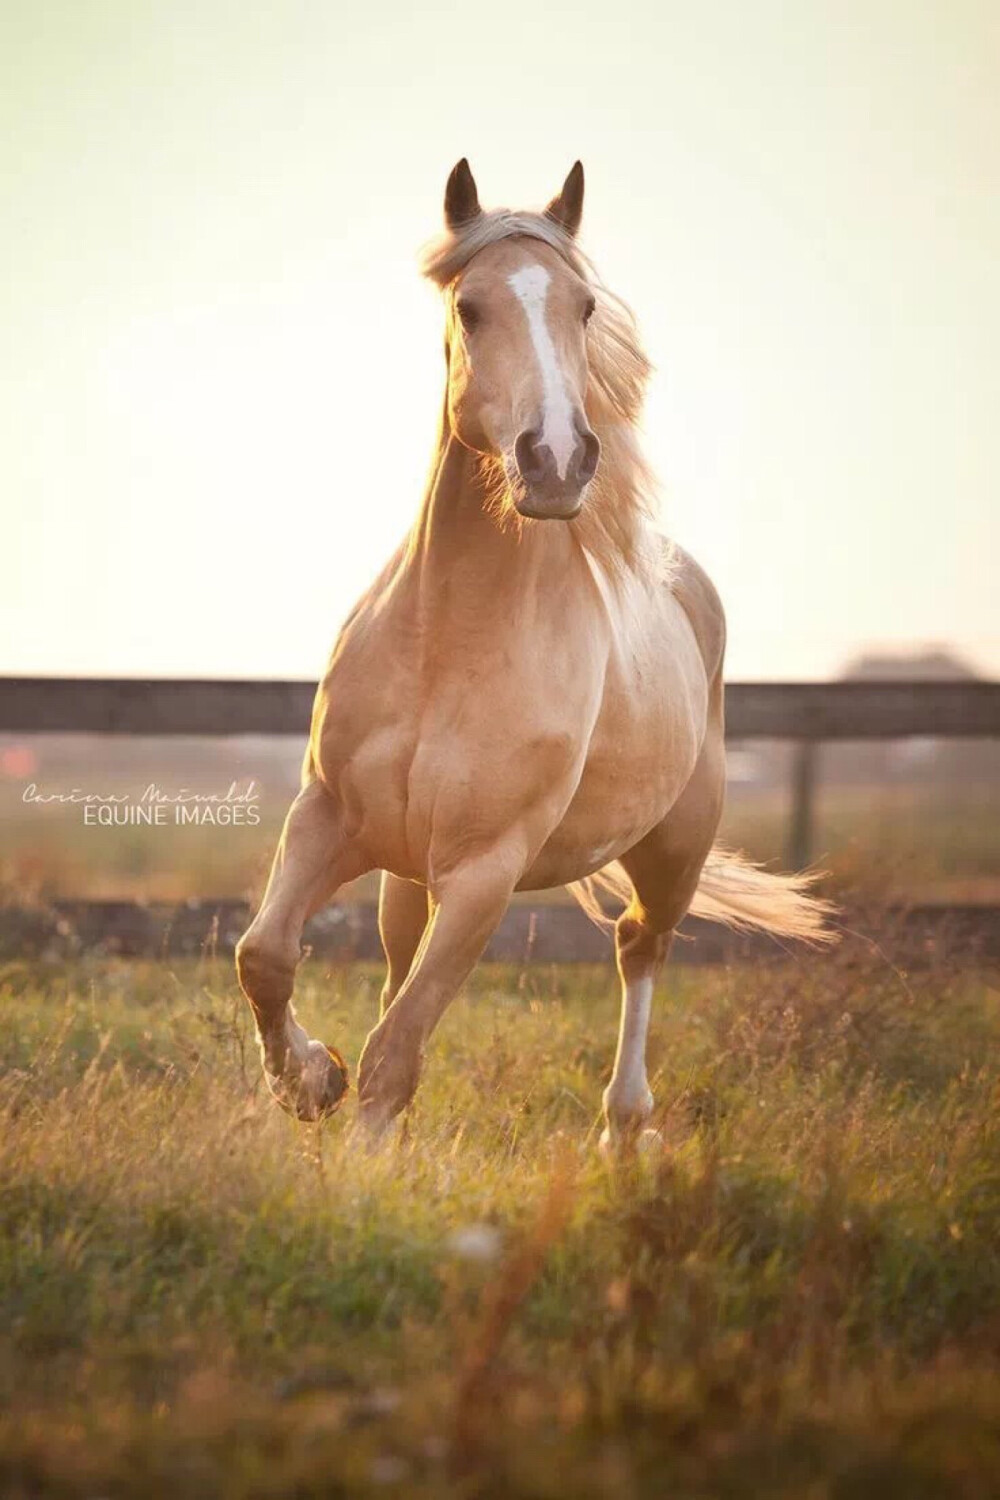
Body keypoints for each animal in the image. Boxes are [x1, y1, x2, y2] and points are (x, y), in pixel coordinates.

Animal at [232, 158, 827, 1140]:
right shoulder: (328, 817)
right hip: (405, 872)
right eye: (470, 307)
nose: (555, 460)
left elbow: (397, 1051)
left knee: (639, 947)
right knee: (396, 966)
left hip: (673, 850)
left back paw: (623, 1128)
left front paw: (356, 1155)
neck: (445, 644)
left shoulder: (486, 872)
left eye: (583, 308)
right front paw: (309, 1082)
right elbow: (266, 955)